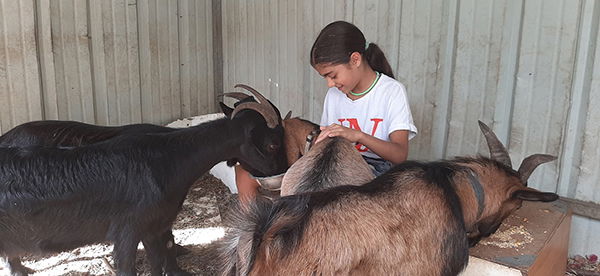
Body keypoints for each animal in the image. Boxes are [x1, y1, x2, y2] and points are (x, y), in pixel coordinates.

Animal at [0, 84, 286, 276]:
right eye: (272, 144)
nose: (282, 171)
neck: (169, 157)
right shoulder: (128, 229)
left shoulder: (155, 224)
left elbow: (161, 253)